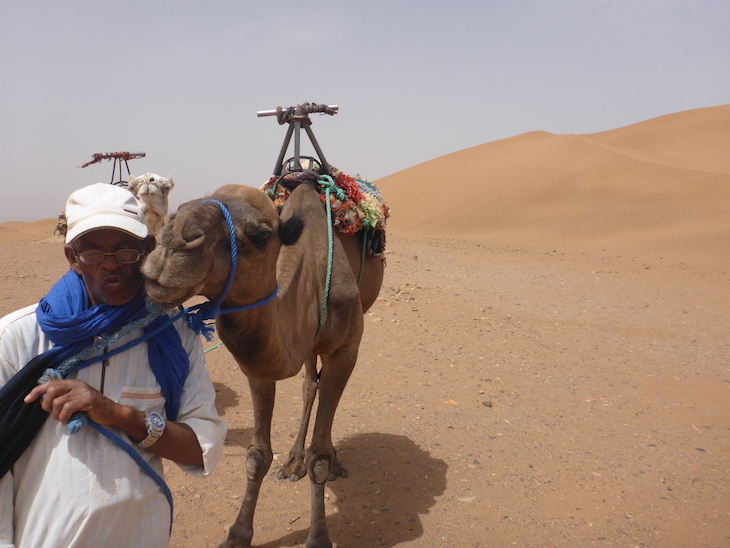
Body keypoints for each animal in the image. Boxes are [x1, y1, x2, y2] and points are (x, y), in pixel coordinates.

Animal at [139, 181, 384, 548]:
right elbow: (257, 455)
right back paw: (293, 462)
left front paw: (318, 536)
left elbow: (320, 458)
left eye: (261, 234)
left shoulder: (344, 351)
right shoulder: (260, 367)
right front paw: (237, 535)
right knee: (309, 384)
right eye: (176, 210)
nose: (171, 244)